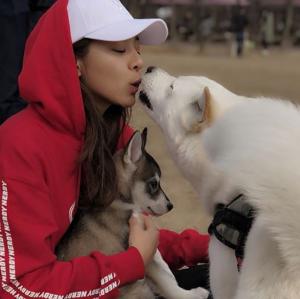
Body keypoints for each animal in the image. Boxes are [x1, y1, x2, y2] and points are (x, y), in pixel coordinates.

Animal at [56, 128, 209, 299]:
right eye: (154, 184)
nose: (170, 206)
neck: (122, 202)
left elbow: (162, 265)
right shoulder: (142, 255)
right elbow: (164, 280)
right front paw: (190, 295)